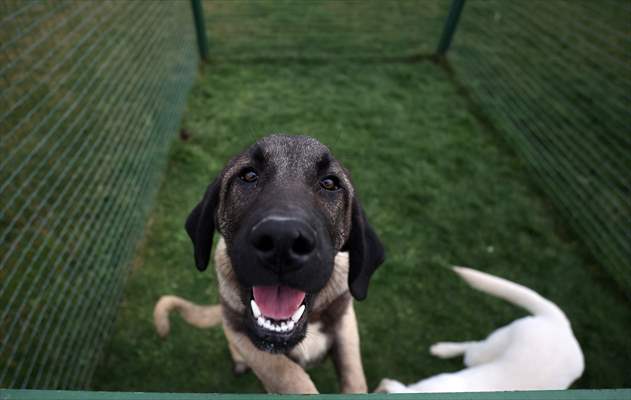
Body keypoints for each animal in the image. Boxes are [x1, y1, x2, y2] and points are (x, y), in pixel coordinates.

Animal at [153, 135, 386, 394]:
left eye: (329, 183)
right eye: (248, 176)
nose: (282, 239)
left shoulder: (345, 319)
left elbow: (354, 375)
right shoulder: (240, 330)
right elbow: (287, 374)